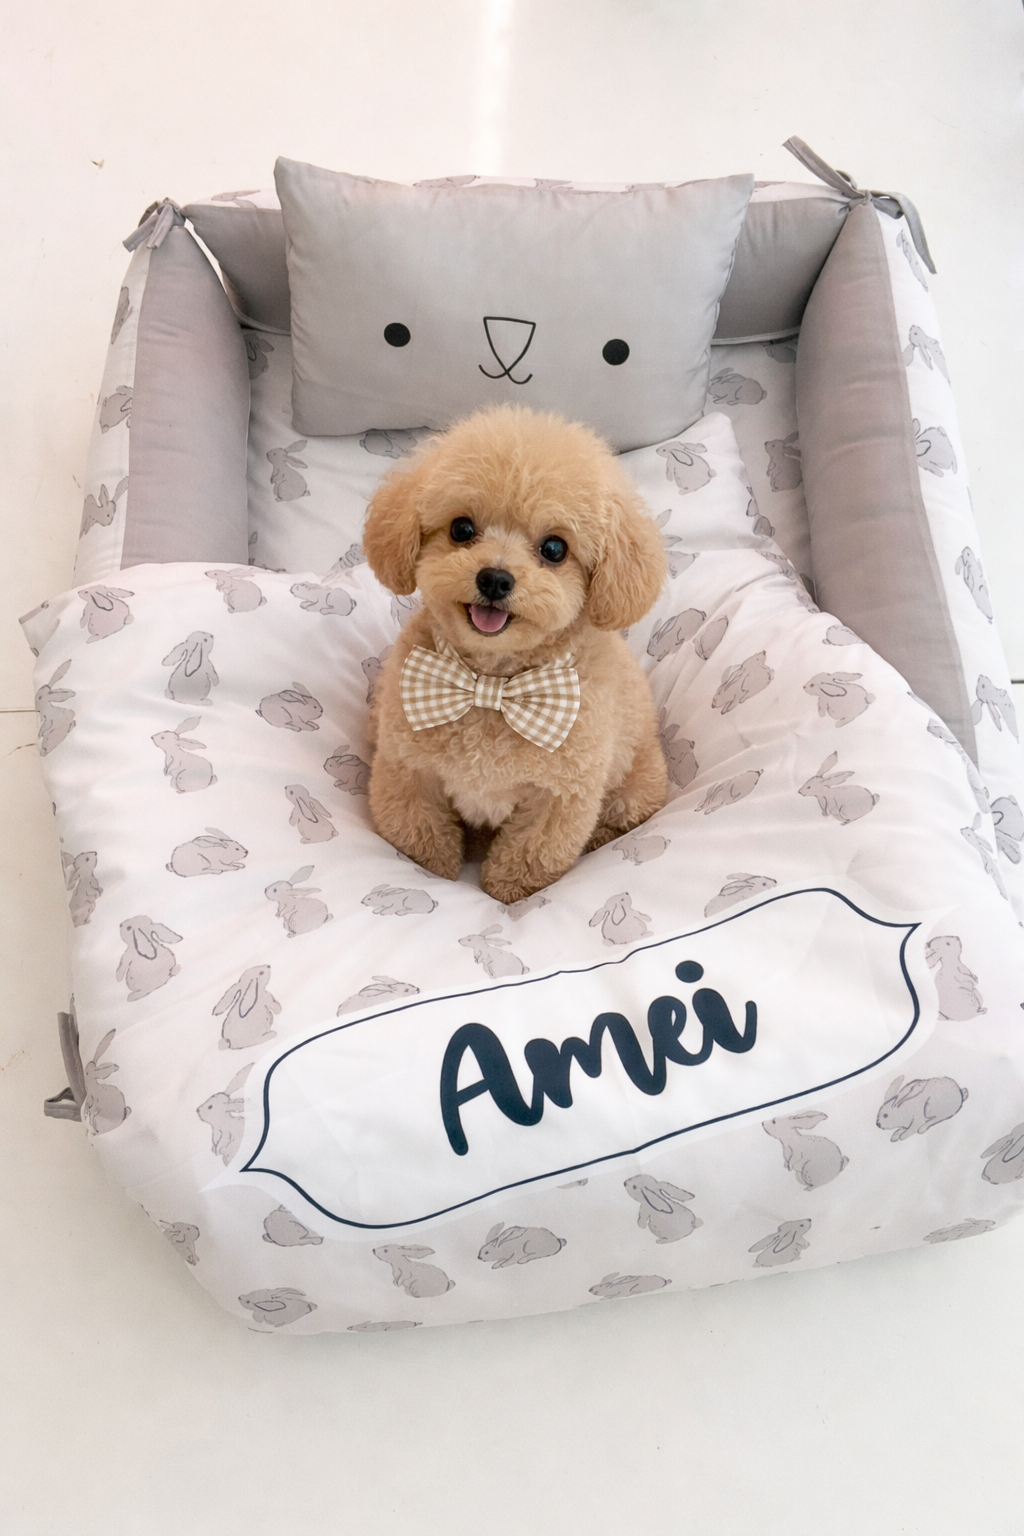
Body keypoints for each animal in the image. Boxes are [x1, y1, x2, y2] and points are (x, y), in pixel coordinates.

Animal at [362, 405, 669, 904]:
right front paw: (431, 873)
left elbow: (529, 856)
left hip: (636, 785)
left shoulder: (560, 797)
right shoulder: (408, 769)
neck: (491, 686)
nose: (494, 578)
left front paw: (506, 895)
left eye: (554, 548)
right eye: (462, 529)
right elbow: (418, 834)